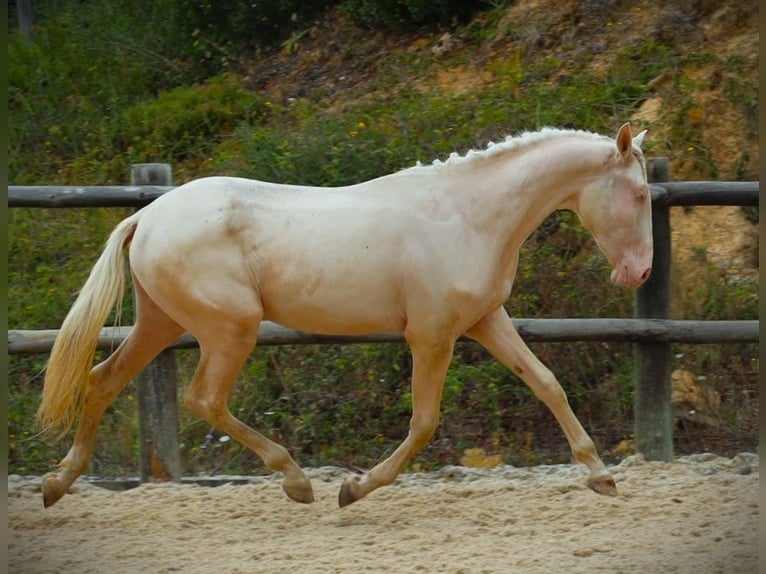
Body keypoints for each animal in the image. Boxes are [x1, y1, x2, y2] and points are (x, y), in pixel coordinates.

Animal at [39, 121, 656, 508]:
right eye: (641, 195)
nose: (639, 274)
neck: (468, 215)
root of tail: (147, 216)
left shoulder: (486, 321)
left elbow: (548, 383)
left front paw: (602, 477)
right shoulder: (432, 337)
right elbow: (424, 421)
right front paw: (354, 488)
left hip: (162, 323)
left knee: (103, 379)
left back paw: (57, 483)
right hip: (230, 329)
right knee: (204, 400)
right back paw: (297, 482)